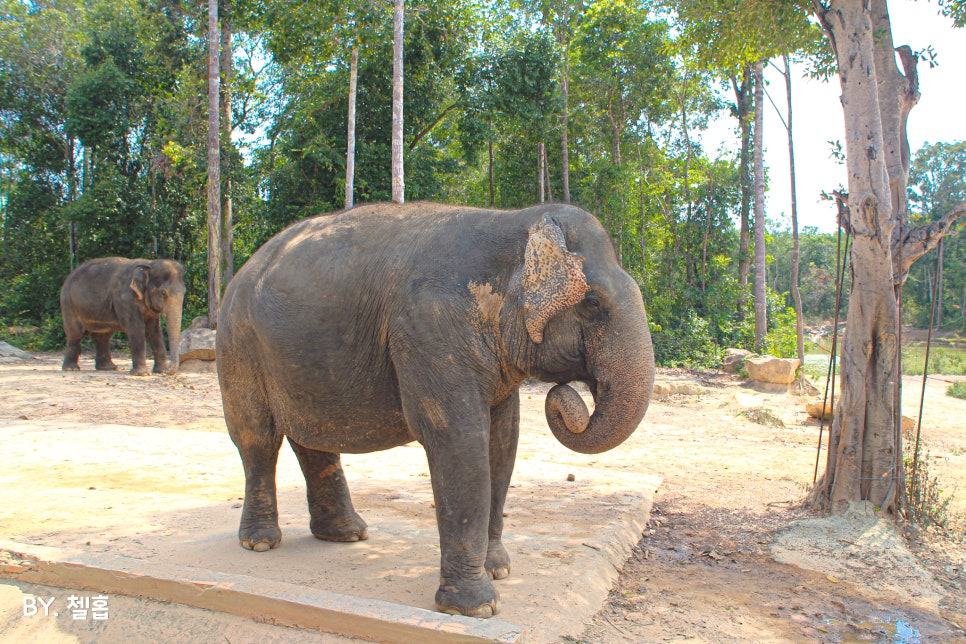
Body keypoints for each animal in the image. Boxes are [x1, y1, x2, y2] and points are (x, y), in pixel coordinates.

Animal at [217, 201, 656, 620]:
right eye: (593, 304)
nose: (566, 397)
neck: (513, 222)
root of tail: (242, 271)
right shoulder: (430, 330)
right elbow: (458, 441)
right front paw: (477, 608)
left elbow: (503, 442)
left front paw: (498, 570)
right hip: (238, 343)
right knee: (257, 439)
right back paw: (260, 542)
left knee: (313, 442)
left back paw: (346, 534)